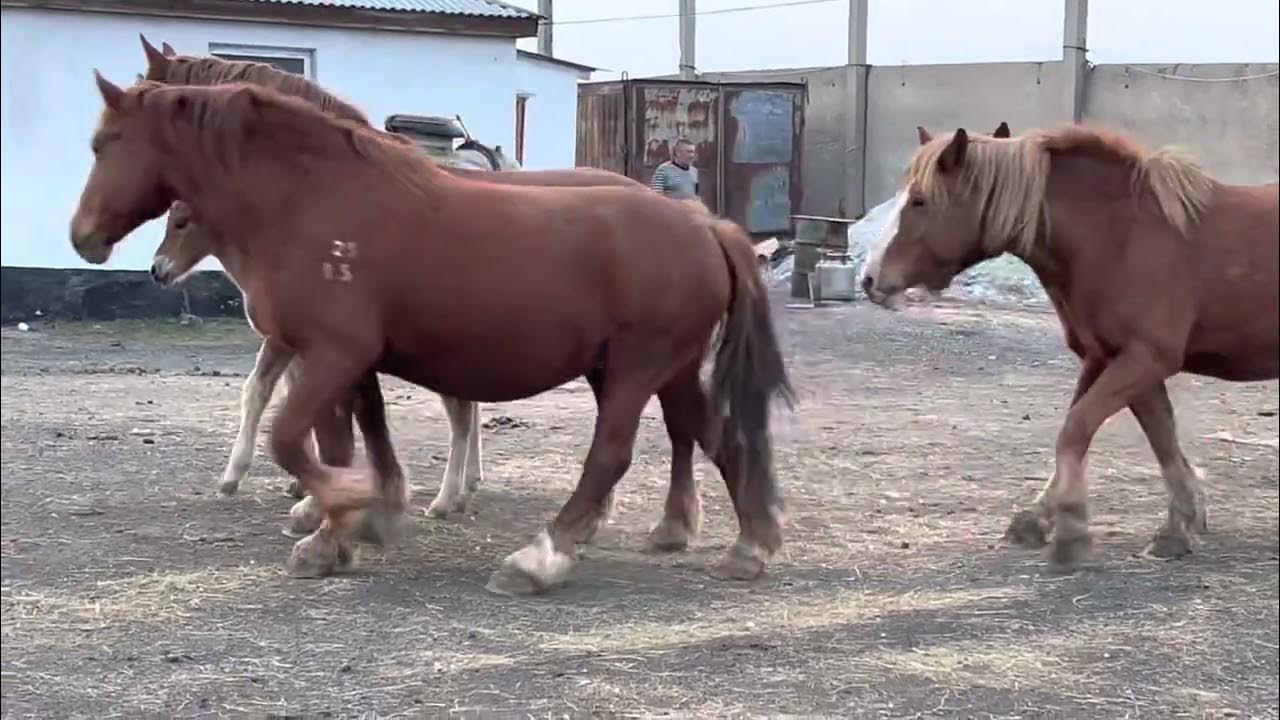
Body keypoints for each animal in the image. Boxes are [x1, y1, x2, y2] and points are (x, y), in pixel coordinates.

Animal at [865, 122, 1274, 571]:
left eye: (919, 200)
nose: (870, 279)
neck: (1120, 235)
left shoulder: (1145, 359)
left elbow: (1078, 429)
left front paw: (1073, 532)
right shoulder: (1109, 358)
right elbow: (1147, 435)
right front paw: (1175, 526)